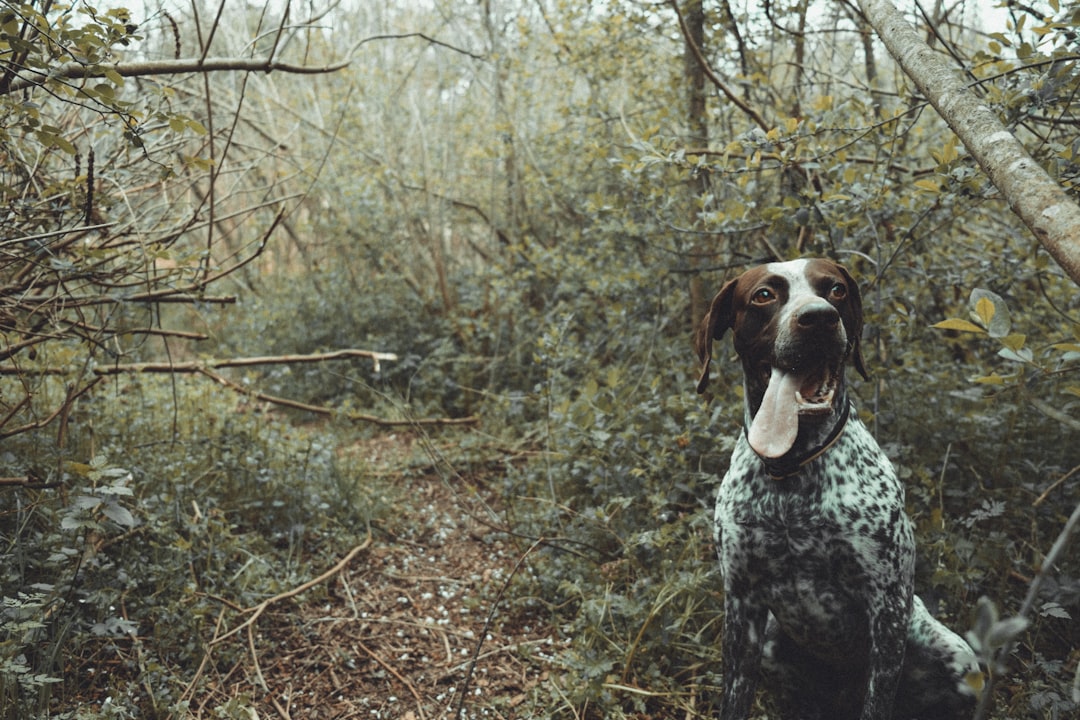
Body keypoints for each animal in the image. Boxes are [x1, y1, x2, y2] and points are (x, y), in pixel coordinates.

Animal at [695, 259, 984, 720]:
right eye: (764, 295)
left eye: (835, 290)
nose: (818, 317)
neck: (791, 474)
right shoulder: (741, 603)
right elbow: (734, 699)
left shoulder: (887, 606)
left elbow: (878, 700)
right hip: (773, 644)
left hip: (958, 660)